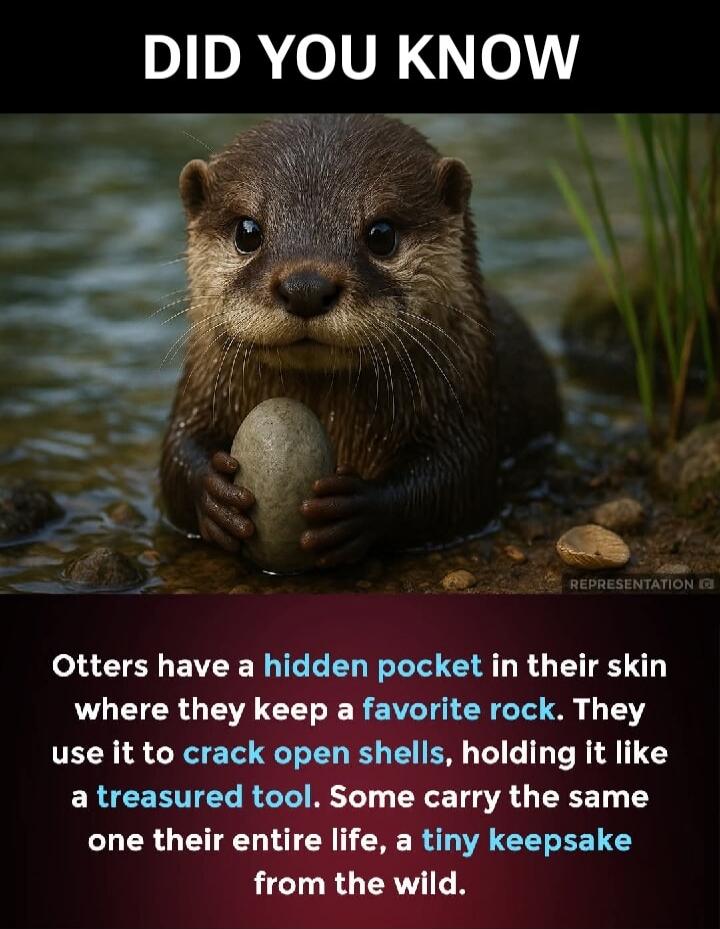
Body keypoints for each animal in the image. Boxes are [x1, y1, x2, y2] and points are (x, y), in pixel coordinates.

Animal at [161, 114, 560, 567]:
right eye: (248, 231)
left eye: (381, 233)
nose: (305, 287)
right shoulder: (198, 395)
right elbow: (174, 457)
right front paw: (214, 494)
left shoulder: (463, 409)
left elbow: (460, 481)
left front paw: (357, 508)